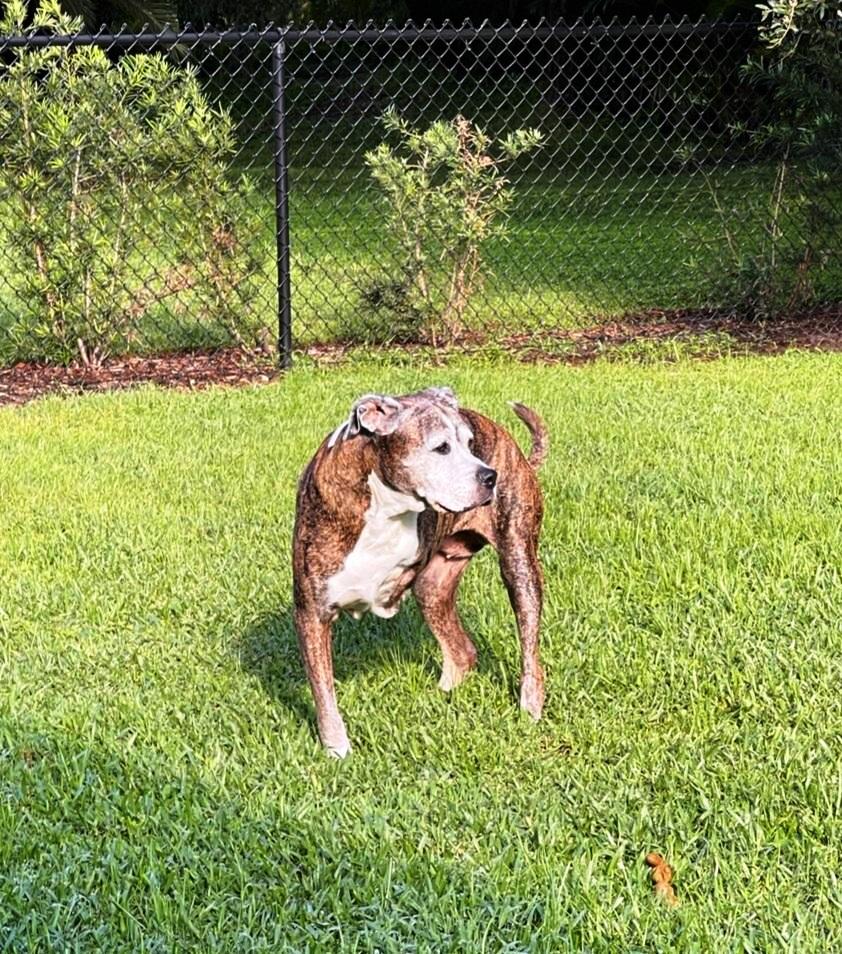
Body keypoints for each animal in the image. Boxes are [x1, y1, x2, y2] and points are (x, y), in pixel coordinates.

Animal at [292, 384, 548, 756]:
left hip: (519, 564)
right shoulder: (312, 612)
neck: (386, 504)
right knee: (463, 650)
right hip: (433, 588)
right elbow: (323, 691)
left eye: (470, 443)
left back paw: (530, 706)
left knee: (529, 645)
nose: (489, 475)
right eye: (441, 447)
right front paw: (337, 749)